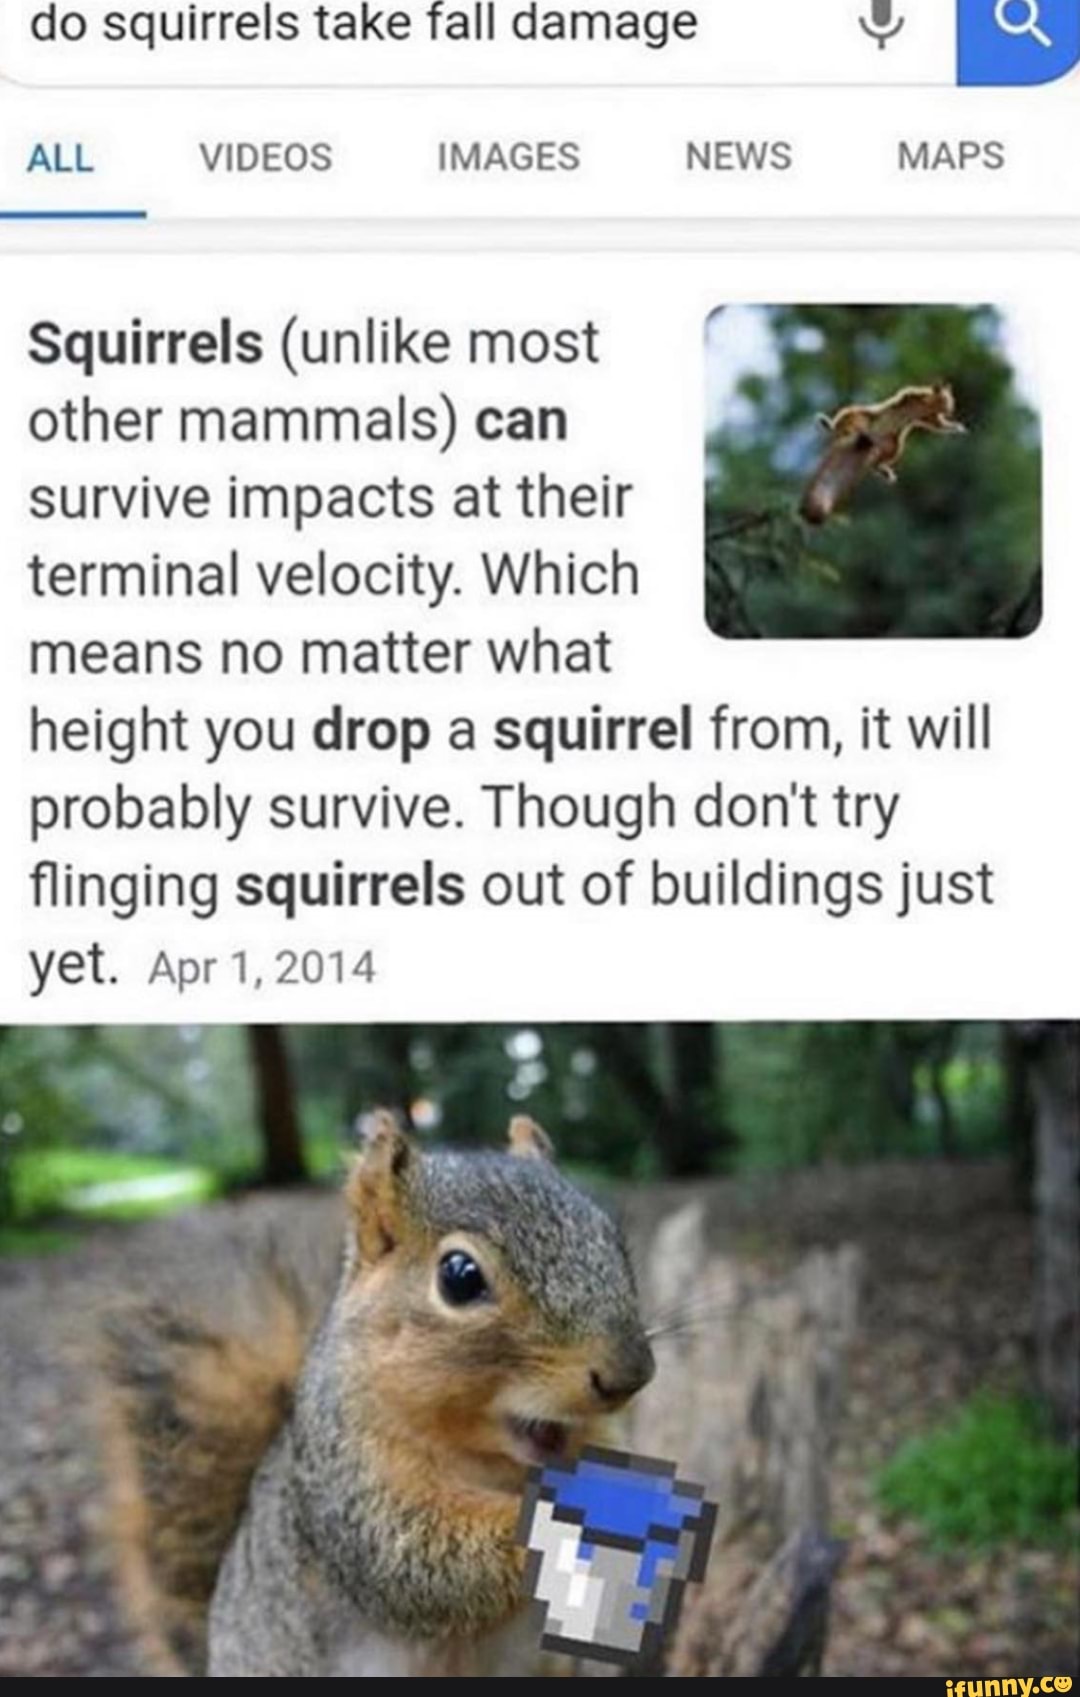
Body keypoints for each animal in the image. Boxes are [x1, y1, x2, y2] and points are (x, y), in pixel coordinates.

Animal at [95, 1111, 655, 1677]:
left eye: (614, 1241)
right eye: (459, 1277)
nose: (629, 1375)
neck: (496, 1466)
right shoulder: (349, 1483)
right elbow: (415, 1558)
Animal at [799, 382, 968, 526]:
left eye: (951, 400)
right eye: (947, 399)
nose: (952, 408)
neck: (929, 407)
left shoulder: (932, 419)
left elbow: (941, 425)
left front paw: (958, 427)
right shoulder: (910, 399)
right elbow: (908, 394)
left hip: (893, 447)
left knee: (874, 461)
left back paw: (885, 472)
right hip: (858, 420)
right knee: (845, 427)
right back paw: (847, 431)